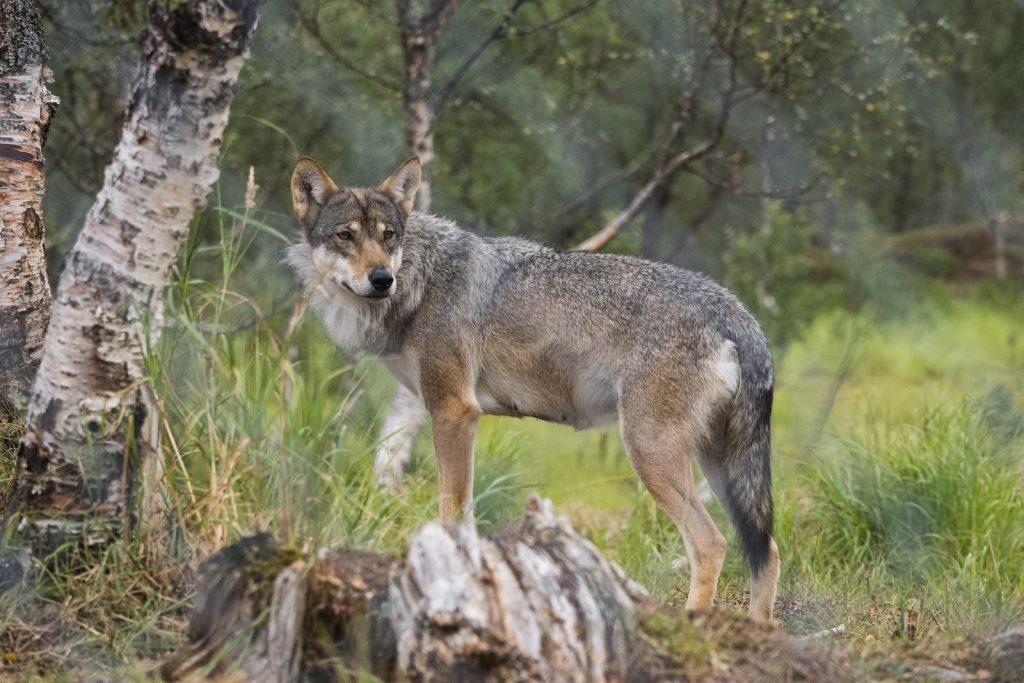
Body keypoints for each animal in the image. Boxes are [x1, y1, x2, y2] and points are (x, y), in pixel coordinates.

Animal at [287, 156, 780, 621]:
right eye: (346, 236)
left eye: (388, 236)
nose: (381, 279)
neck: (420, 281)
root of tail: (736, 310)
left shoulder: (454, 411)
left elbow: (453, 514)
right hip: (717, 464)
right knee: (767, 550)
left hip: (652, 452)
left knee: (711, 543)